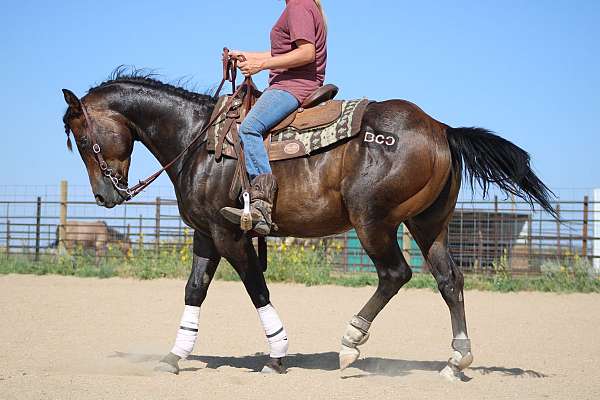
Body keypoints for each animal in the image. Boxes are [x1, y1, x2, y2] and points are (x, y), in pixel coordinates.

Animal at [61, 70, 552, 380]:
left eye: (83, 139)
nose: (105, 197)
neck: (199, 141)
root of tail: (441, 128)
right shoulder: (205, 234)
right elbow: (194, 289)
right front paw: (174, 356)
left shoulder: (230, 234)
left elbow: (256, 288)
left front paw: (277, 356)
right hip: (427, 224)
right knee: (449, 280)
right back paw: (456, 361)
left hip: (372, 220)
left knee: (395, 274)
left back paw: (351, 342)